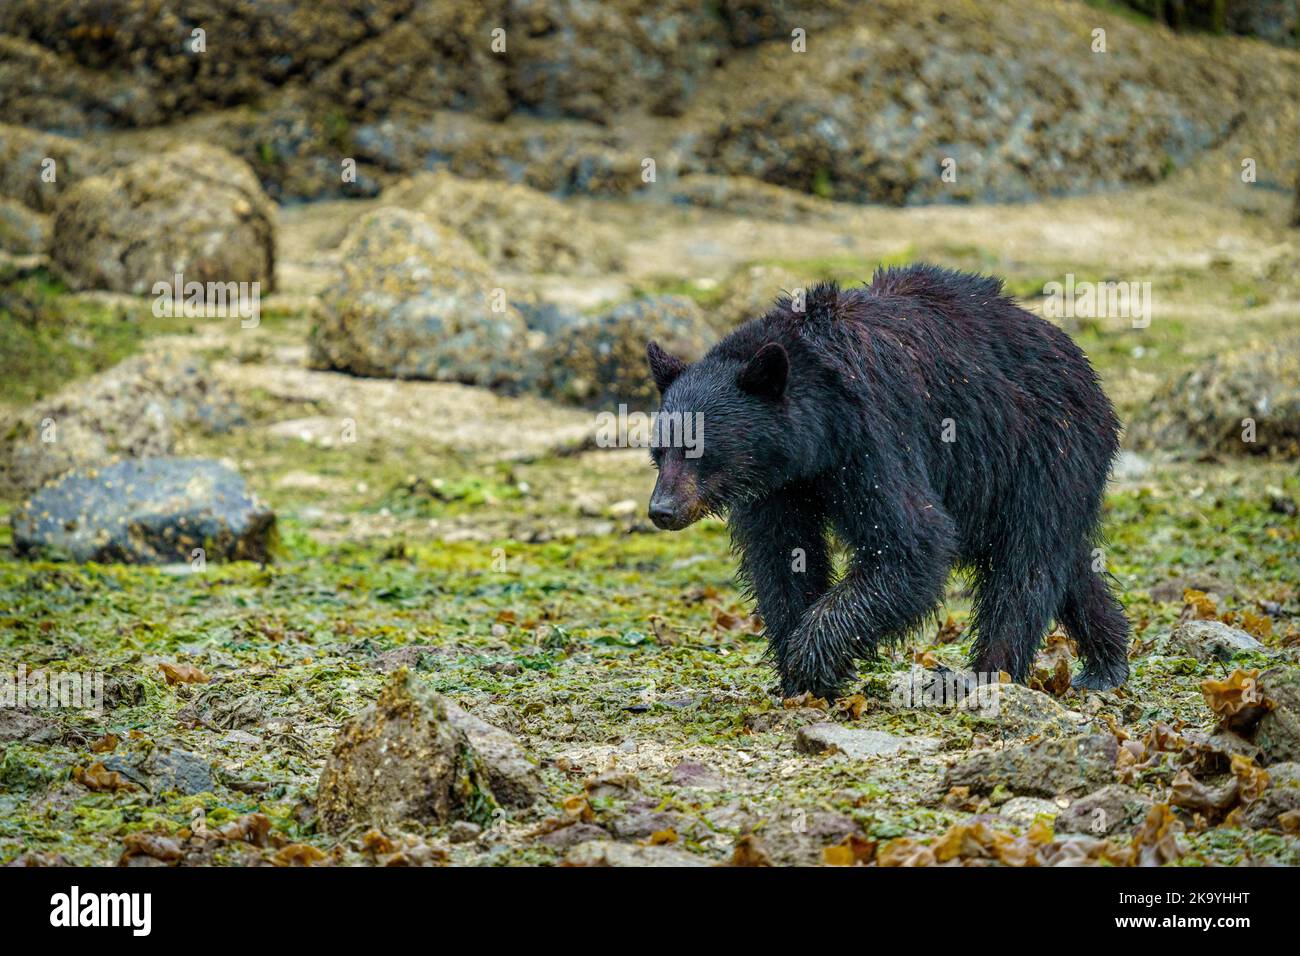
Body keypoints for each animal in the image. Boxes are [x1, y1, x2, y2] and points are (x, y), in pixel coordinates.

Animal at [647, 265, 1128, 697]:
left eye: (699, 450)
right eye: (659, 451)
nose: (661, 510)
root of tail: (1086, 369)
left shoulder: (872, 435)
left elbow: (911, 542)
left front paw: (812, 657)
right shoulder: (778, 484)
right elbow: (782, 555)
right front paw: (800, 672)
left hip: (1041, 447)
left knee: (1025, 562)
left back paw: (989, 673)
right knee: (1071, 564)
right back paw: (1106, 663)